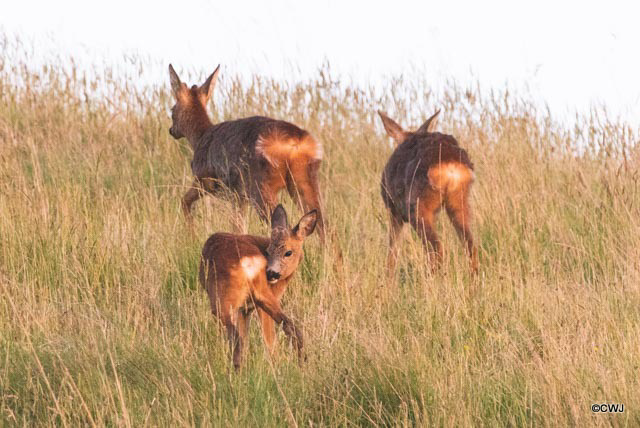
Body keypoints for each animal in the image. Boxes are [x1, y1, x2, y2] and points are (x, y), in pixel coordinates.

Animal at [168, 64, 324, 239]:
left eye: (172, 110)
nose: (171, 130)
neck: (199, 137)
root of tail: (295, 141)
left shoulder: (204, 180)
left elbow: (185, 201)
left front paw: (192, 235)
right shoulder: (238, 197)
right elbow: (239, 227)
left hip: (261, 186)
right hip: (305, 179)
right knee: (324, 228)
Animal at [200, 204, 318, 368]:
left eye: (288, 252)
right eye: (268, 251)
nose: (271, 273)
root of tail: (249, 261)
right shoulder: (246, 308)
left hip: (222, 298)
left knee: (237, 338)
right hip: (258, 295)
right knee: (290, 328)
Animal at [378, 108, 478, 276]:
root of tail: (449, 164)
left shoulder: (394, 210)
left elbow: (393, 249)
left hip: (419, 207)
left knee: (437, 249)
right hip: (459, 201)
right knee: (471, 246)